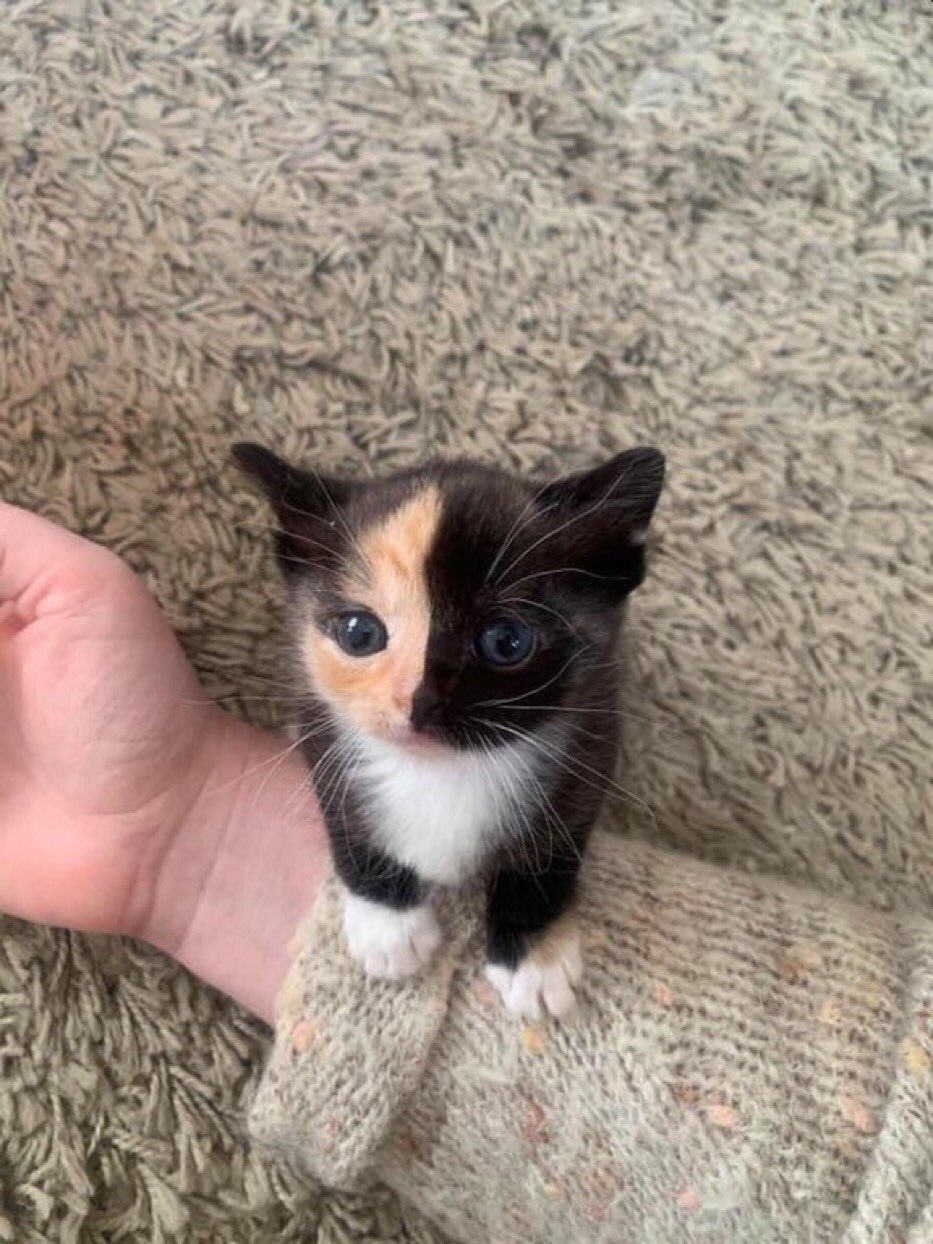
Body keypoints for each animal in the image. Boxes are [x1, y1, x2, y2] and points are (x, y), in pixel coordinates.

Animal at [237, 442, 666, 1015]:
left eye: (506, 641)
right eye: (359, 633)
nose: (418, 702)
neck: (444, 770)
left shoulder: (593, 738)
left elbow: (549, 850)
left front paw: (533, 954)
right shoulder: (318, 726)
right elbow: (347, 821)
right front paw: (388, 926)